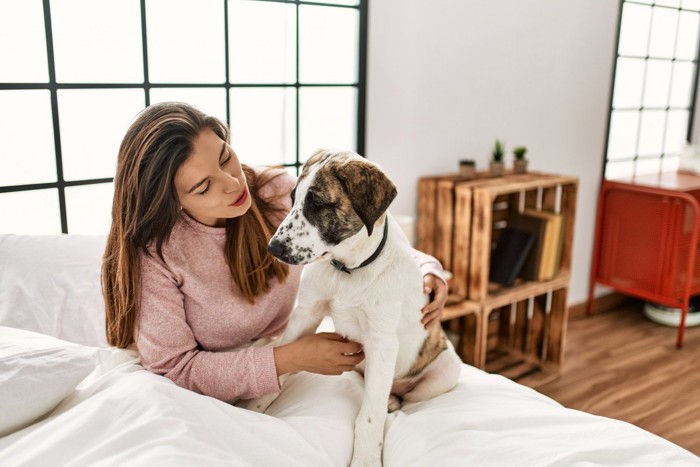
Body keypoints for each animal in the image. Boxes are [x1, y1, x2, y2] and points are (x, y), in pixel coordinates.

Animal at [243, 151, 462, 467]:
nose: (273, 249)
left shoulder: (382, 342)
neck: (347, 270)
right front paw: (252, 407)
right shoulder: (305, 314)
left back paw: (392, 400)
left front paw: (366, 459)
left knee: (399, 397)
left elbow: (370, 416)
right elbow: (280, 362)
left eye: (319, 204)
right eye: (293, 198)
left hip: (445, 371)